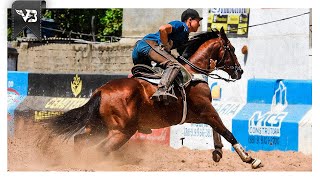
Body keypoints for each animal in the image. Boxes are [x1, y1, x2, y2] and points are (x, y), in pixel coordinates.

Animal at [45, 27, 262, 169]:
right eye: (232, 49)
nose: (240, 71)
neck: (194, 72)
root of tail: (101, 92)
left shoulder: (199, 114)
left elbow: (216, 129)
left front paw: (217, 151)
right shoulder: (207, 110)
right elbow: (226, 131)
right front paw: (250, 158)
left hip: (98, 128)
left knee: (80, 140)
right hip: (121, 132)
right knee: (101, 150)